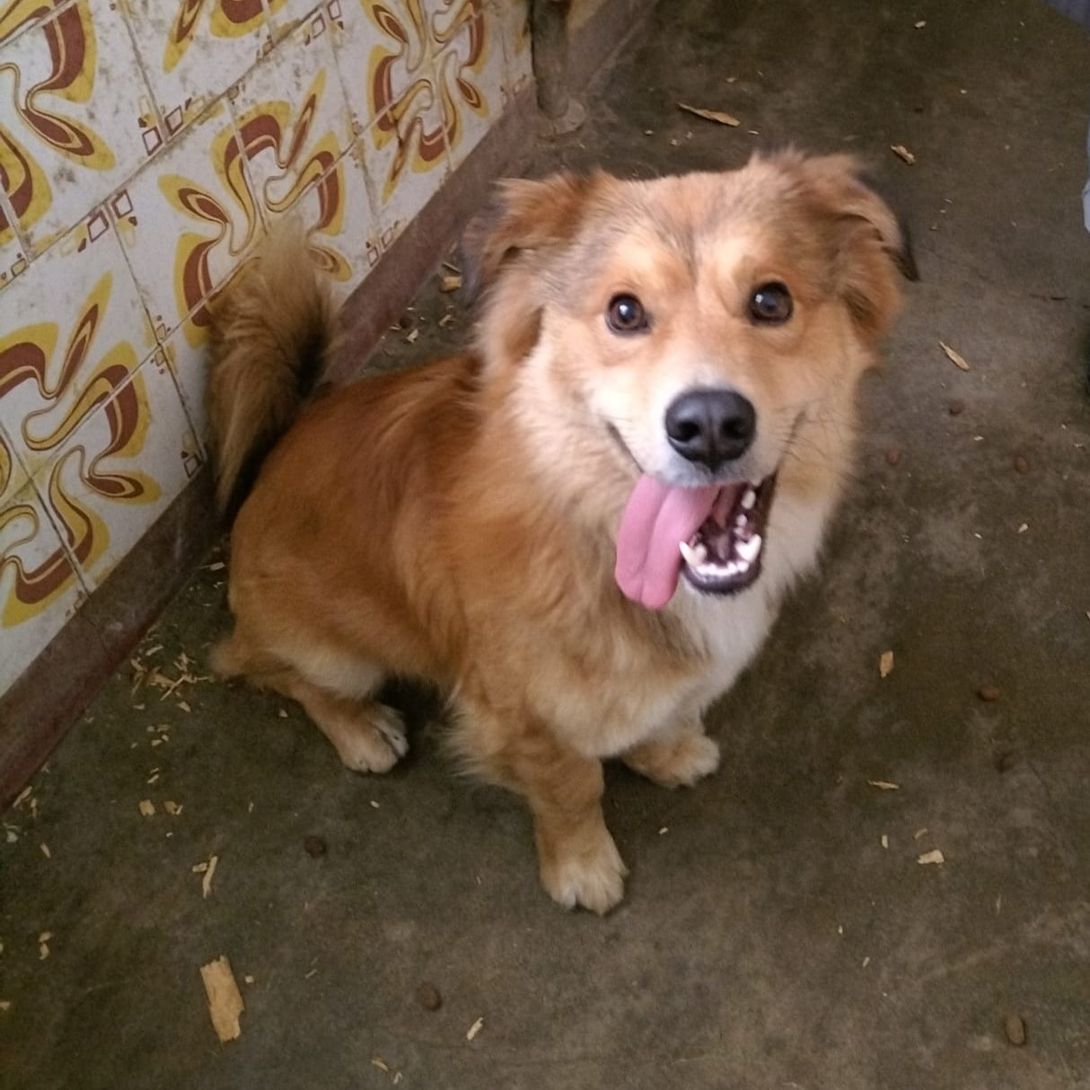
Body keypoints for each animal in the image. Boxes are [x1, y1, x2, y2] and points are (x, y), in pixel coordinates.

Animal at [206, 151, 914, 913]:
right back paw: (361, 729)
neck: (590, 530)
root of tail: (274, 451)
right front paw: (581, 867)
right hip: (338, 656)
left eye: (771, 301)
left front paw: (665, 753)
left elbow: (657, 715)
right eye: (624, 312)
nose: (710, 426)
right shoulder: (522, 716)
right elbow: (573, 787)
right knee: (263, 668)